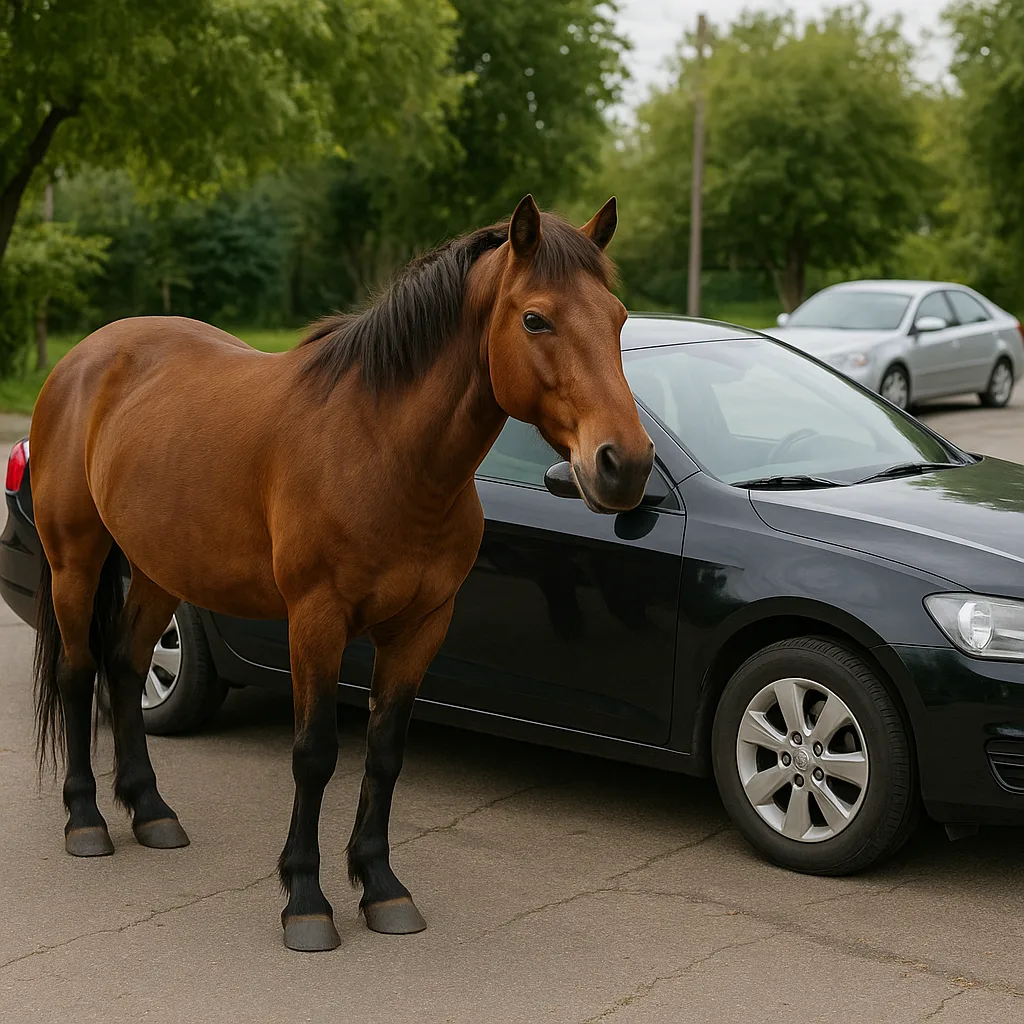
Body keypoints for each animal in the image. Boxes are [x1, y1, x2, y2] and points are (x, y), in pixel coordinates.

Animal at [30, 195, 654, 952]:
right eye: (536, 319)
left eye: (618, 318)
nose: (624, 464)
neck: (382, 449)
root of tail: (85, 358)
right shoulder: (316, 621)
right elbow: (315, 753)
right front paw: (306, 899)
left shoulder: (421, 628)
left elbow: (385, 753)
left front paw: (382, 887)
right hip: (76, 560)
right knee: (78, 671)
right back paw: (86, 820)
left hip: (158, 569)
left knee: (123, 665)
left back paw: (150, 810)